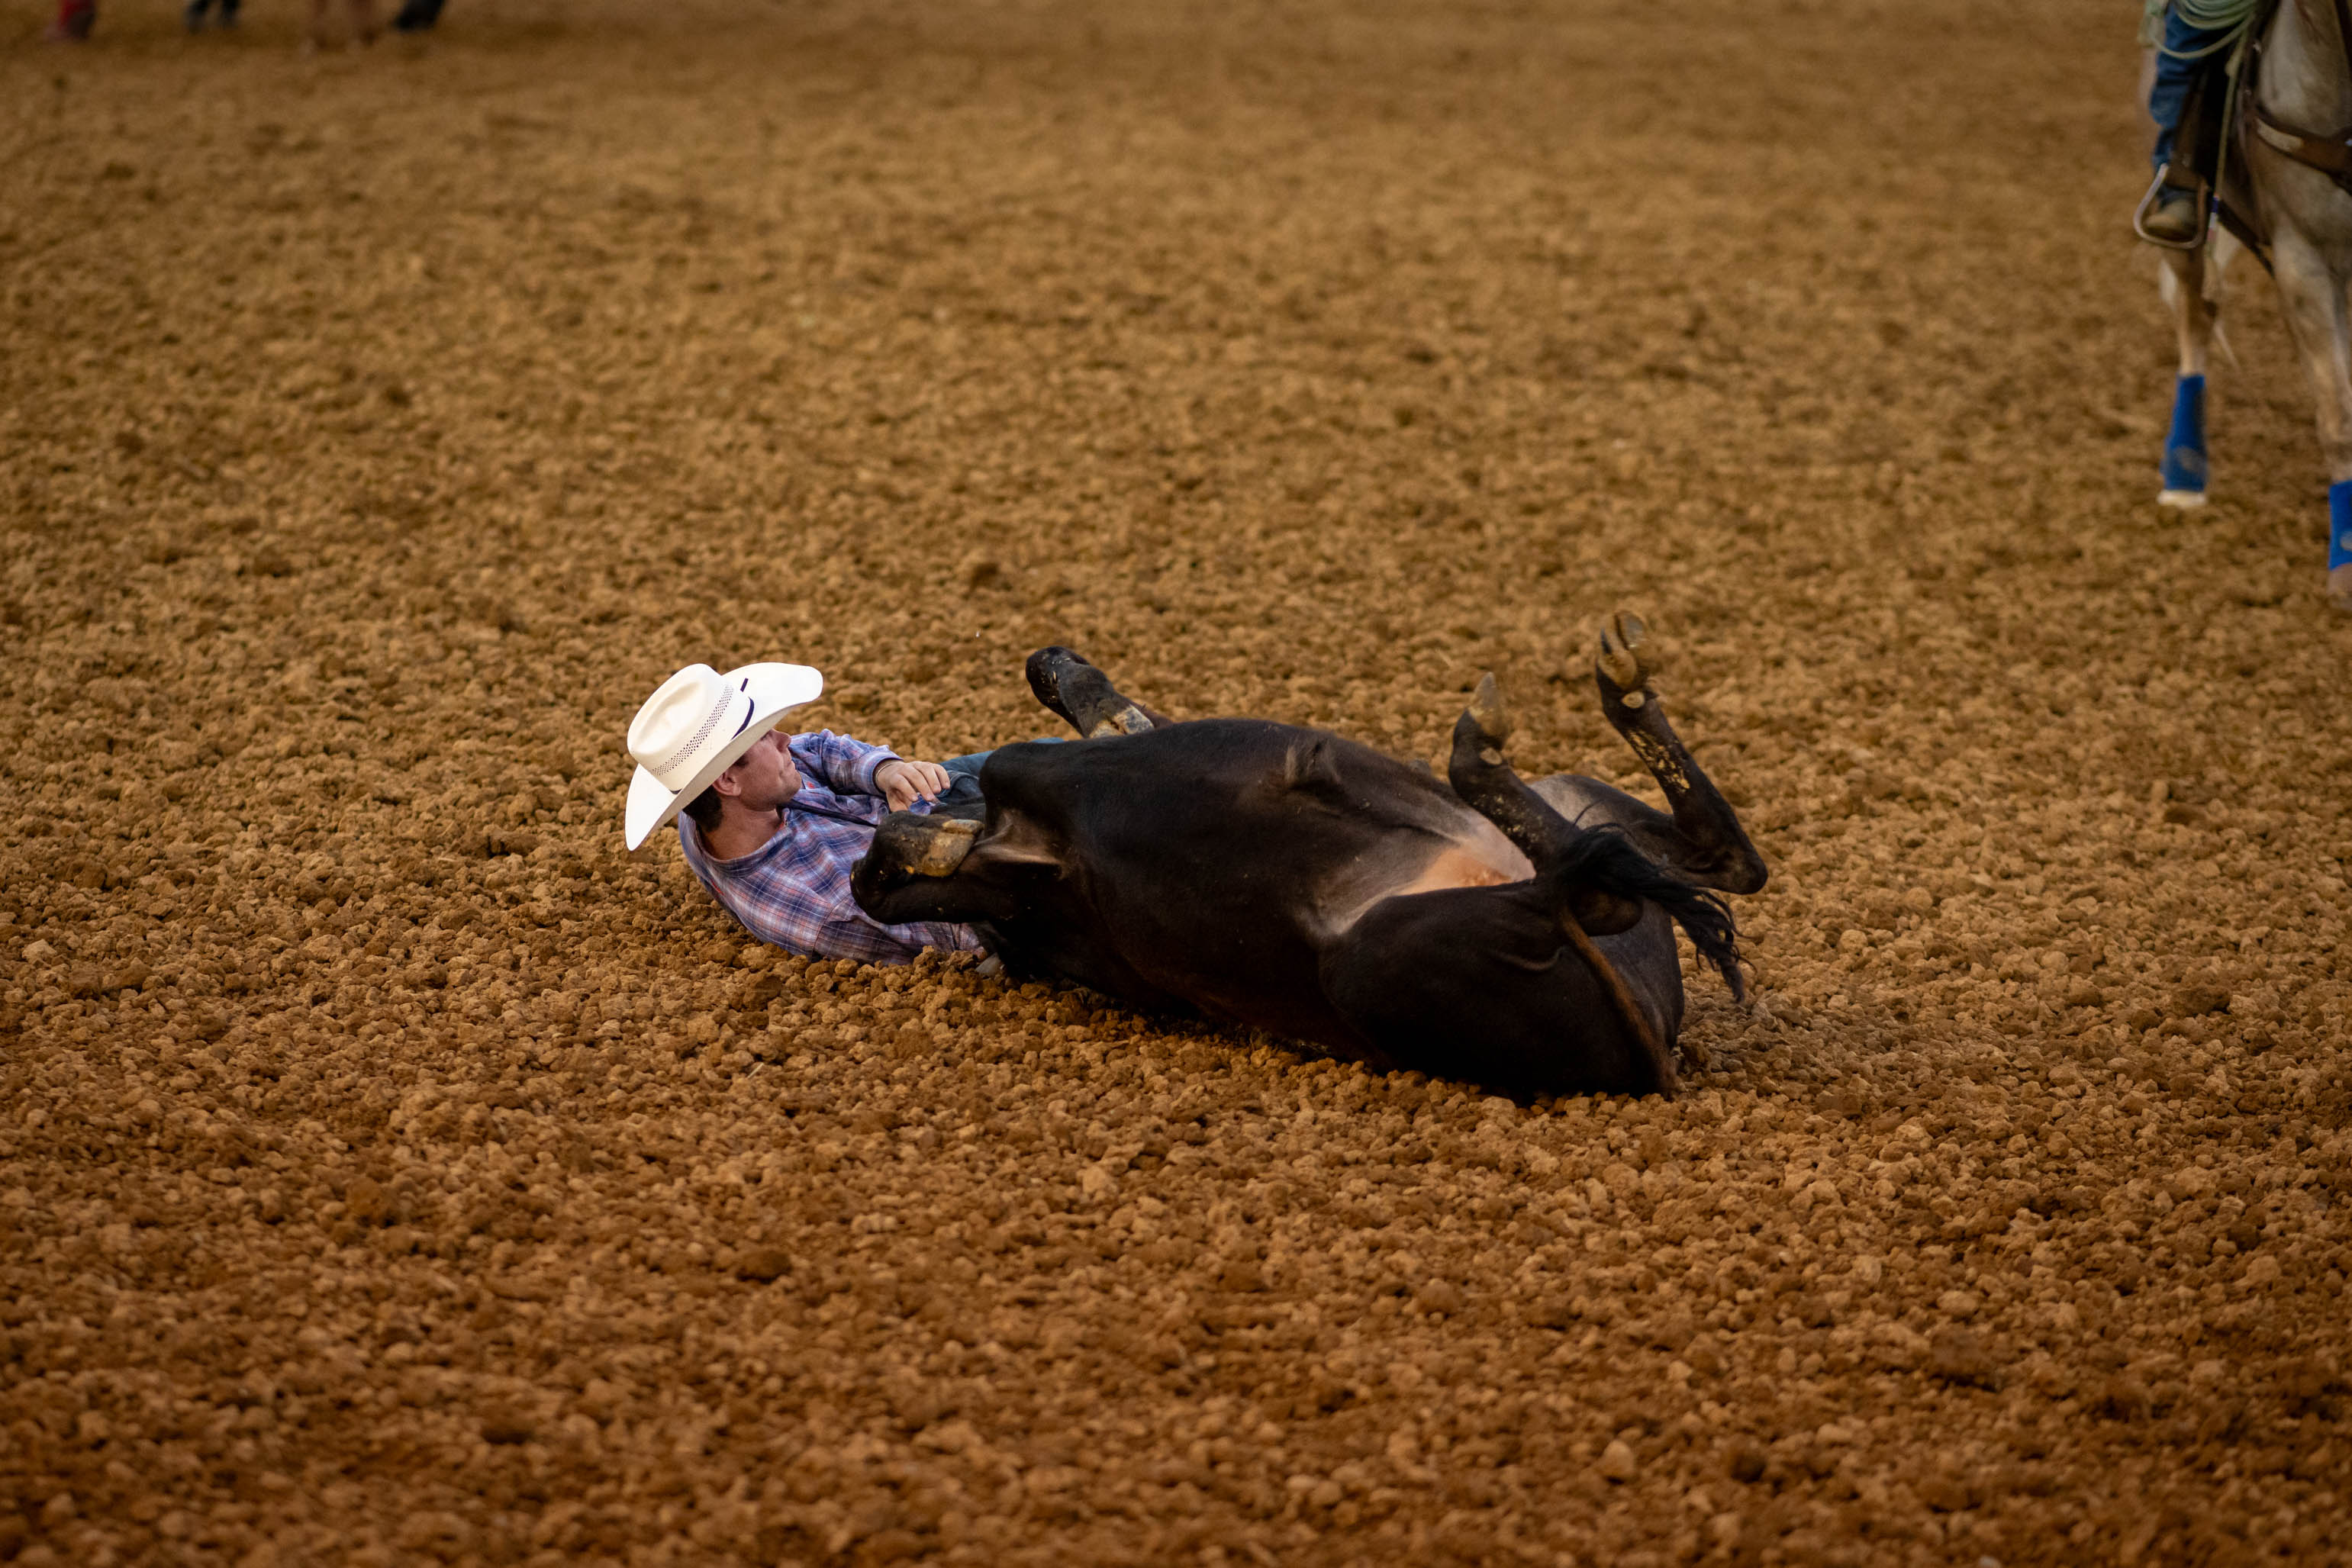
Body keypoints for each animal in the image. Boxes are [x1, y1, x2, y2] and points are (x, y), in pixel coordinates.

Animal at [851, 613, 1767, 1096]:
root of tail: (1651, 1054)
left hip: (1572, 801)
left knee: (1700, 865)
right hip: (1373, 958)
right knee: (1620, 884)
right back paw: (1516, 736)